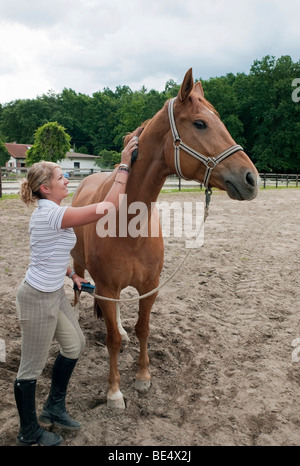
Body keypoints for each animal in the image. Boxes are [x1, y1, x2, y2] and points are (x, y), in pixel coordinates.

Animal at [70, 66, 258, 408]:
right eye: (200, 123)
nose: (252, 178)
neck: (128, 223)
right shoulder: (107, 285)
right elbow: (112, 341)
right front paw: (114, 392)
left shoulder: (149, 286)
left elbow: (143, 329)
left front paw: (143, 377)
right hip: (78, 262)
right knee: (77, 289)